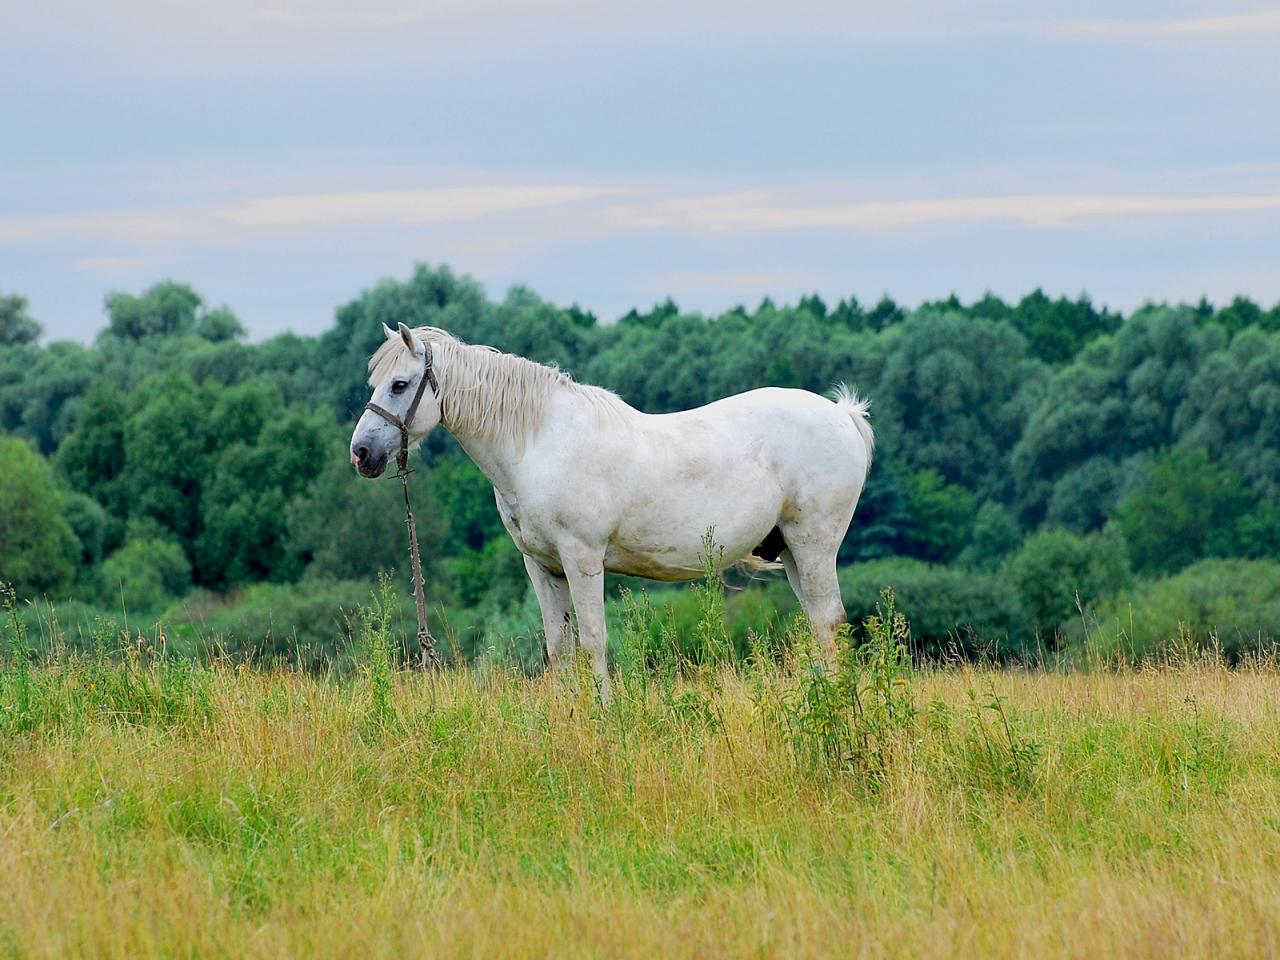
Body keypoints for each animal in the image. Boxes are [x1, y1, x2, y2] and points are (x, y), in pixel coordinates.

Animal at [348, 325, 870, 701]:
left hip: (813, 545)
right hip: (792, 553)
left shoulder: (582, 559)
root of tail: (843, 415)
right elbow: (557, 646)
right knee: (819, 625)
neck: (539, 443)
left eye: (400, 384)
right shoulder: (541, 567)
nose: (361, 453)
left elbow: (593, 639)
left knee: (828, 621)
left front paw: (603, 715)